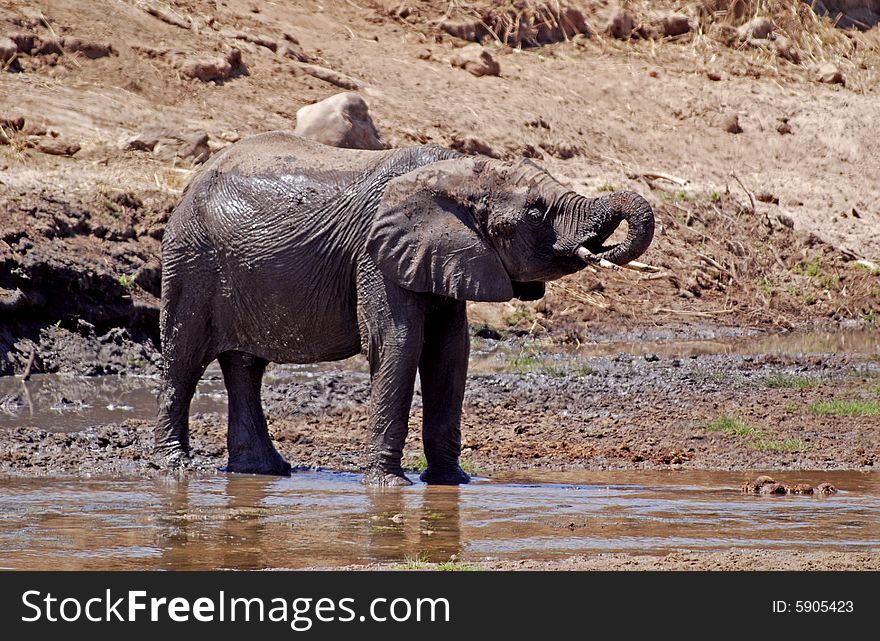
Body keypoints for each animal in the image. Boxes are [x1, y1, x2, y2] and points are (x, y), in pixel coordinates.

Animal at [156, 134, 652, 484]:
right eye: (535, 211)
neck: (453, 171)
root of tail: (191, 182)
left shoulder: (445, 258)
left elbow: (450, 352)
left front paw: (453, 482)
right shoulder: (375, 254)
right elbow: (398, 342)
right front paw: (388, 486)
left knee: (246, 368)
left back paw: (266, 471)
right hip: (189, 260)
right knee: (183, 361)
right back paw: (176, 468)